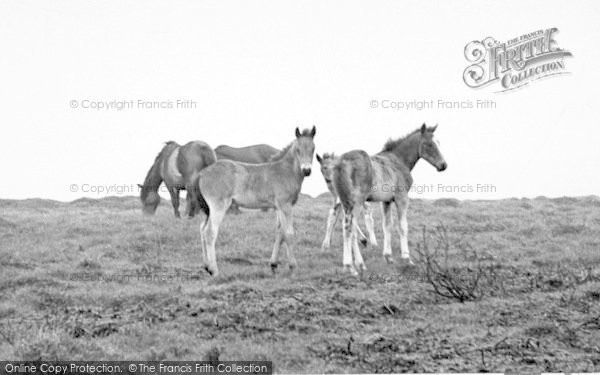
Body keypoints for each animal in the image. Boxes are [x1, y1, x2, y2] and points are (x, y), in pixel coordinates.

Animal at [197, 126, 318, 276]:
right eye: (298, 149)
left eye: (313, 148)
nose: (307, 170)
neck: (285, 171)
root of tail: (202, 173)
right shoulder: (285, 206)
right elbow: (289, 233)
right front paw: (293, 267)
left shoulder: (278, 207)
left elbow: (280, 233)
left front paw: (273, 265)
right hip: (218, 207)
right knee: (210, 232)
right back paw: (215, 271)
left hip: (209, 209)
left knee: (202, 229)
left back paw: (207, 266)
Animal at [332, 125, 446, 274]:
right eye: (429, 144)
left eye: (438, 143)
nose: (443, 165)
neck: (399, 160)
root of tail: (342, 162)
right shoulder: (401, 198)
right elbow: (402, 226)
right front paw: (407, 259)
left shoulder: (386, 201)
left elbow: (387, 226)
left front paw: (388, 257)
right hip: (357, 202)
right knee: (349, 227)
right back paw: (353, 266)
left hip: (346, 202)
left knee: (349, 227)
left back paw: (355, 265)